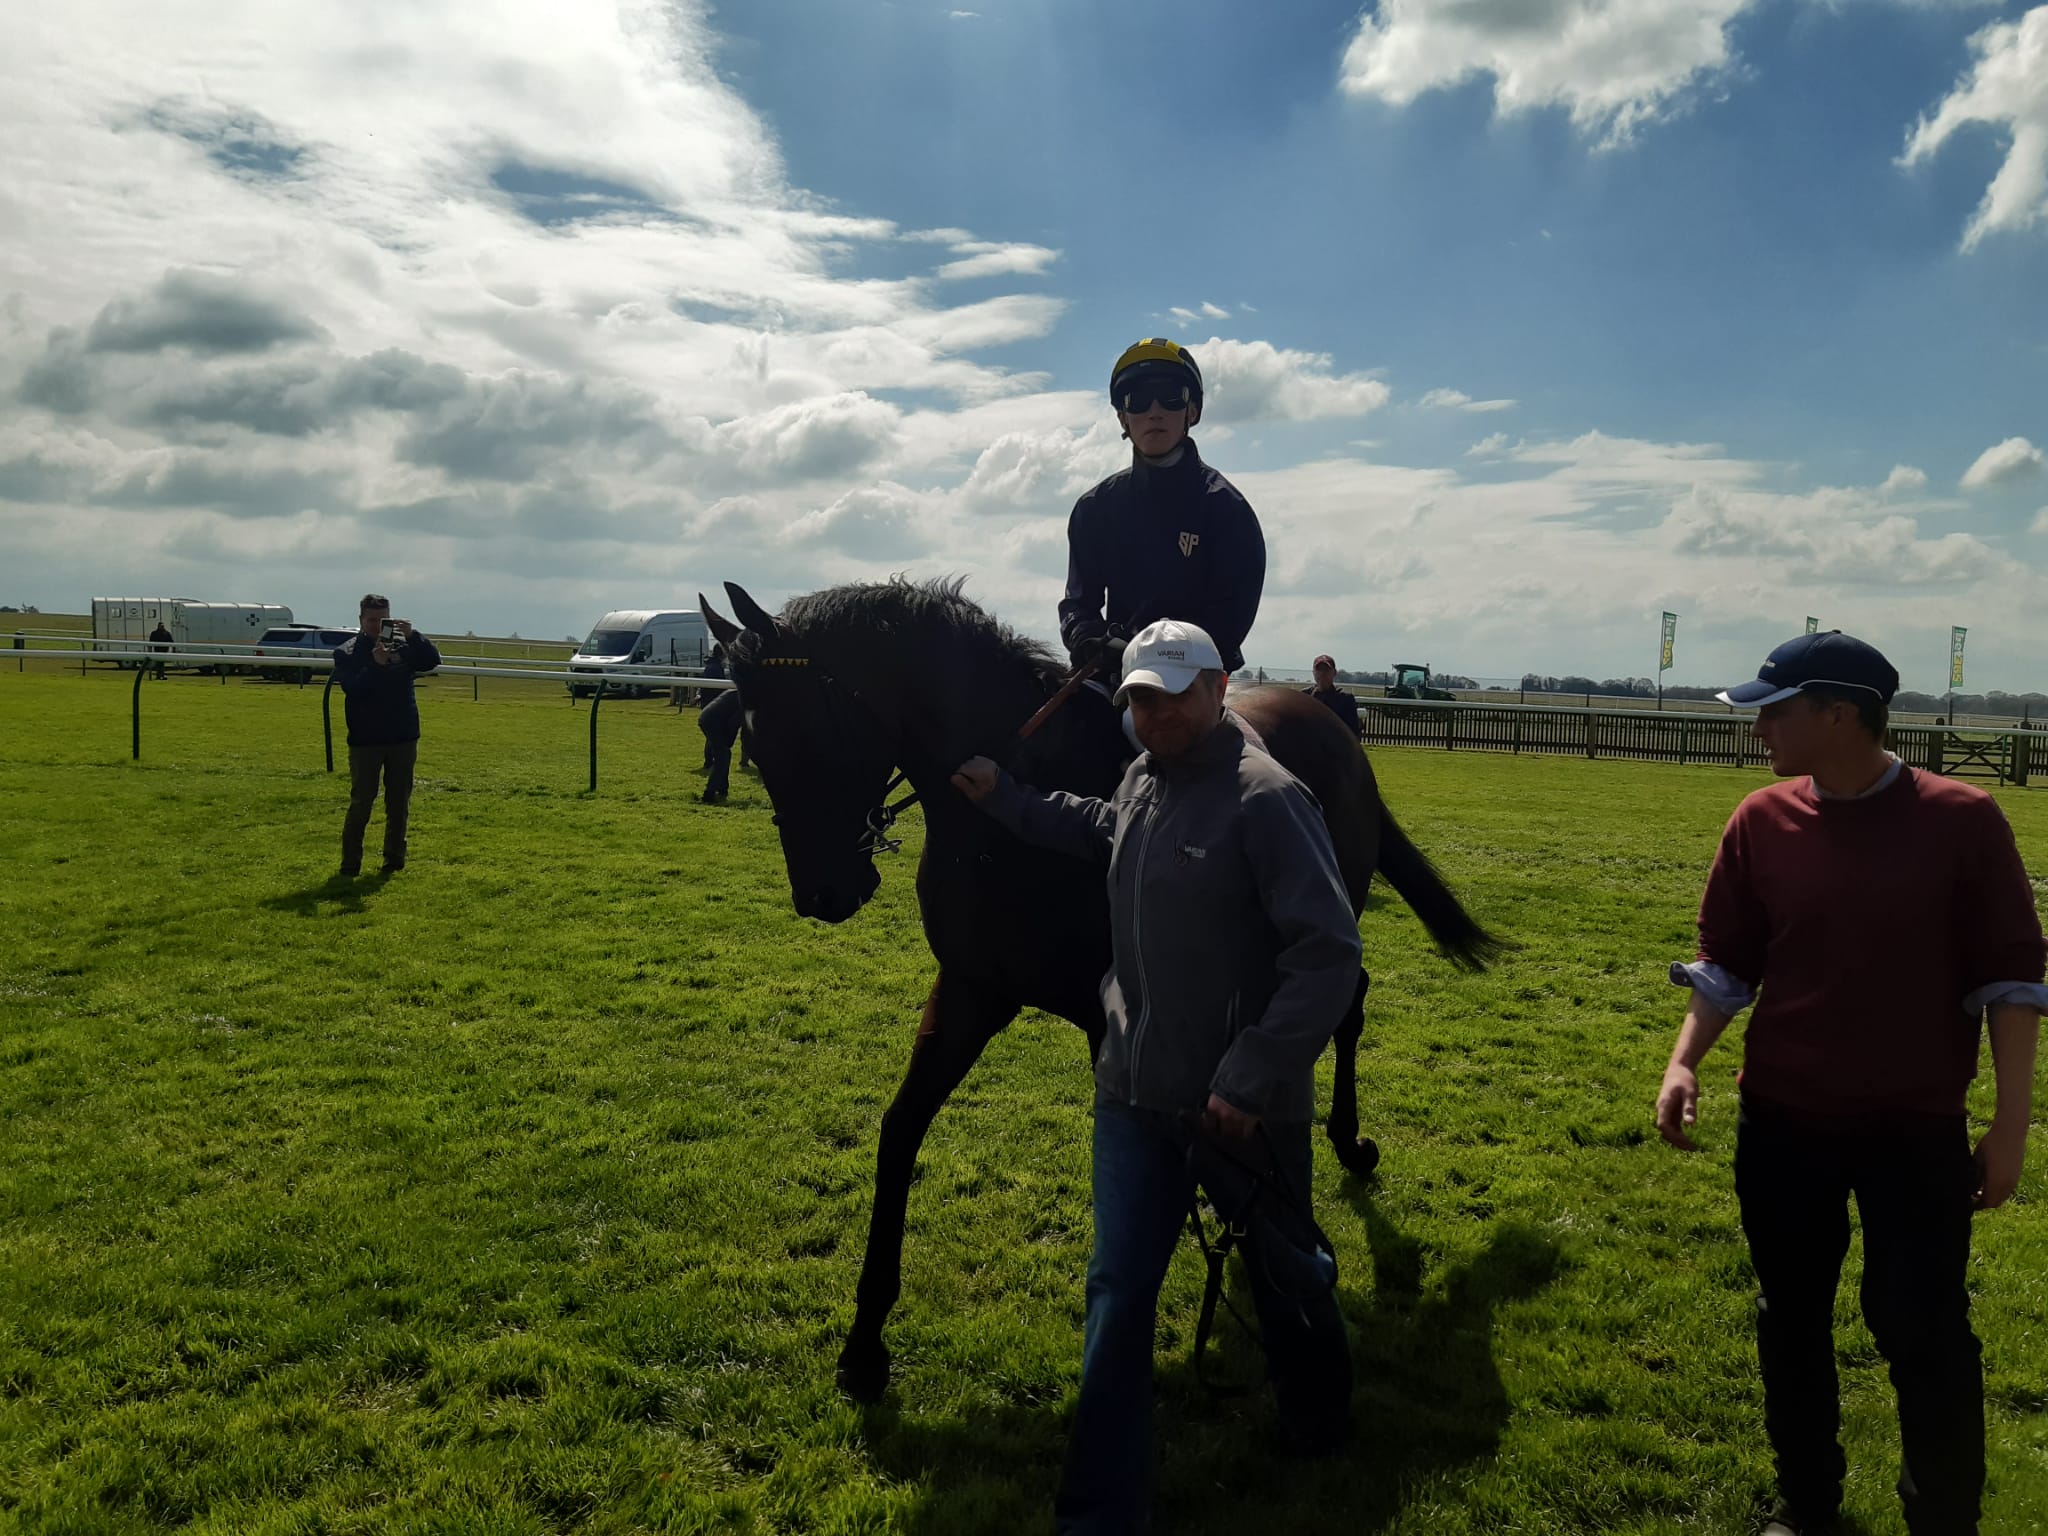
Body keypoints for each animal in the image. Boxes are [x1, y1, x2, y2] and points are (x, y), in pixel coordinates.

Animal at [696, 581, 1499, 1409]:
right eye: (752, 745)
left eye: (808, 733)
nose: (823, 896)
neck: (1008, 823)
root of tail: (1332, 724)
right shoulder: (972, 991)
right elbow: (900, 1131)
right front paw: (864, 1344)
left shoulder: (1117, 1023)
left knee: (1342, 1001)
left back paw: (1346, 1141)